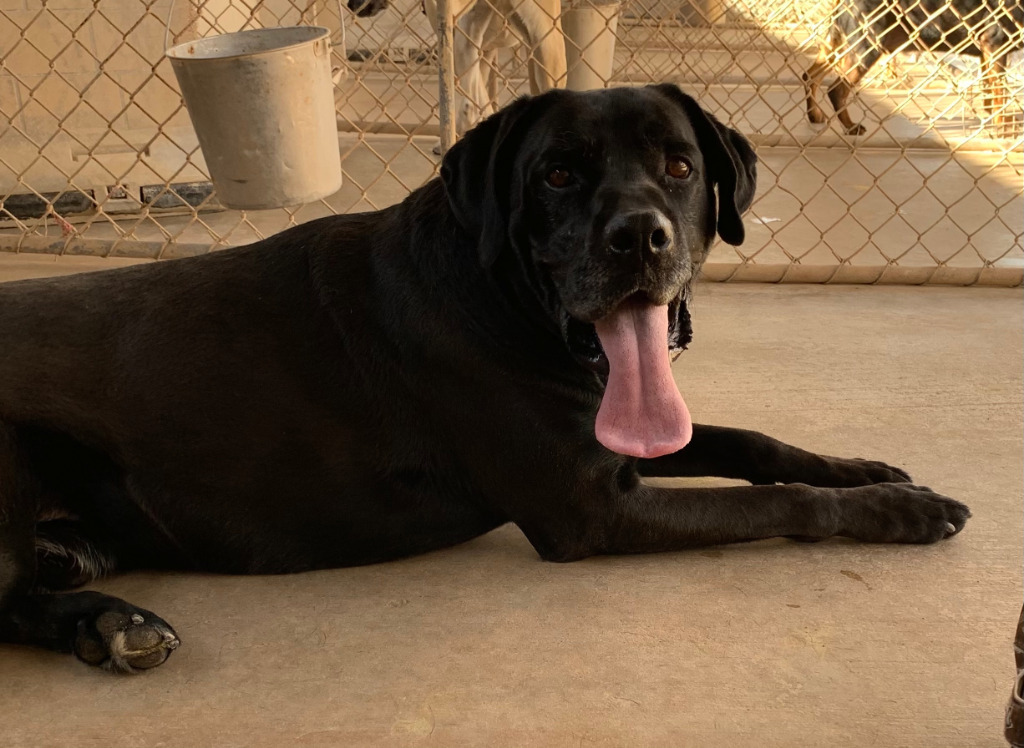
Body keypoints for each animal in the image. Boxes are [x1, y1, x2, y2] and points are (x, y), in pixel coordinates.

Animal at [0, 84, 966, 672]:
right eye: (558, 173)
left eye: (680, 166)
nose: (639, 239)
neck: (500, 297)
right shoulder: (590, 508)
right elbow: (778, 502)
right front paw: (898, 512)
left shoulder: (618, 443)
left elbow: (759, 445)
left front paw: (867, 471)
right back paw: (114, 623)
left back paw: (96, 601)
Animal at [802, 0, 1019, 134]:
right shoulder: (995, 44)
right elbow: (1000, 94)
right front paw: (1004, 127)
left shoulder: (987, 52)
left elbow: (990, 93)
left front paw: (991, 118)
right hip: (867, 46)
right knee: (836, 89)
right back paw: (850, 127)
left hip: (837, 41)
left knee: (810, 75)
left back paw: (814, 115)